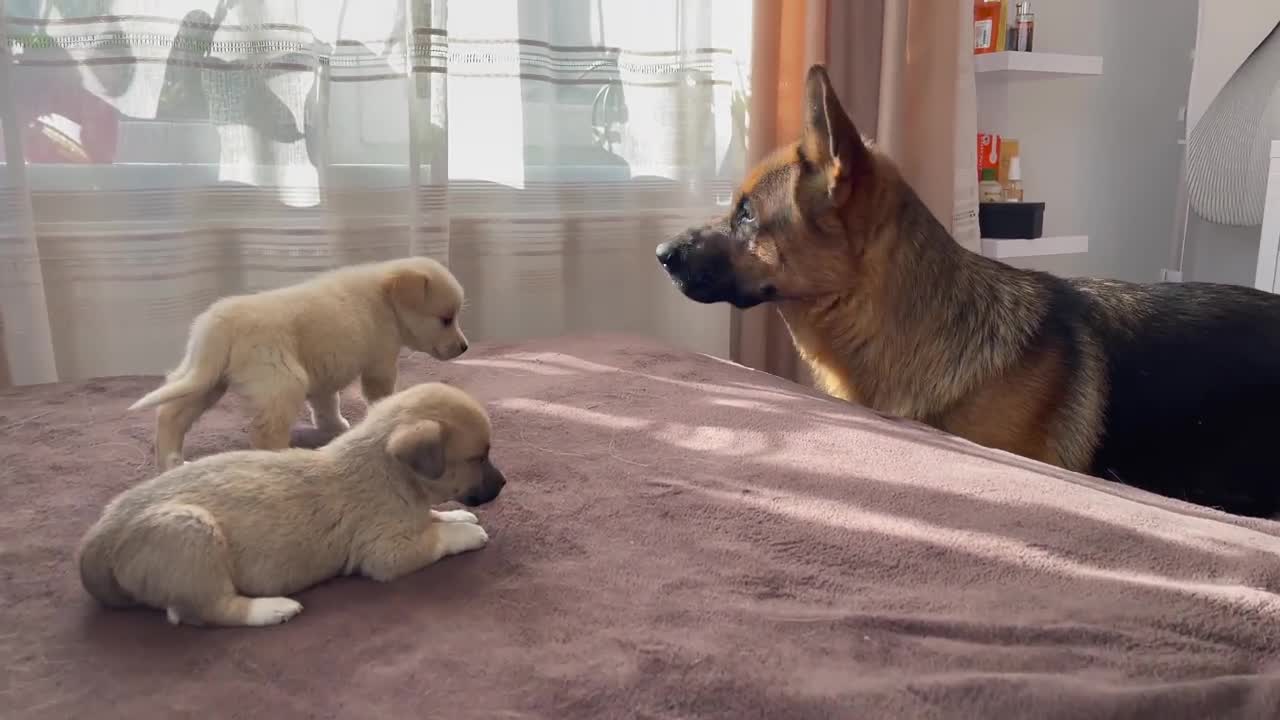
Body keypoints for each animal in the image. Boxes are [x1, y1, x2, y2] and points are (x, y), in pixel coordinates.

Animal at [77, 384, 506, 625]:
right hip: (190, 533)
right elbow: (436, 539)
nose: (504, 484)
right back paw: (272, 609)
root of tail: (97, 542)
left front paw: (454, 514)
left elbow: (433, 516)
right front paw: (465, 530)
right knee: (205, 611)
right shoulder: (388, 553)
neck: (391, 470)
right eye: (479, 457)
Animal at [128, 254, 471, 468]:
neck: (386, 298)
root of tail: (220, 324)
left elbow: (326, 404)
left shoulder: (324, 376)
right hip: (281, 382)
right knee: (265, 433)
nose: (465, 347)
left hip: (205, 379)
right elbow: (379, 395)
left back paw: (170, 462)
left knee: (170, 415)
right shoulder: (381, 363)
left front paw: (336, 426)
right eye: (446, 319)